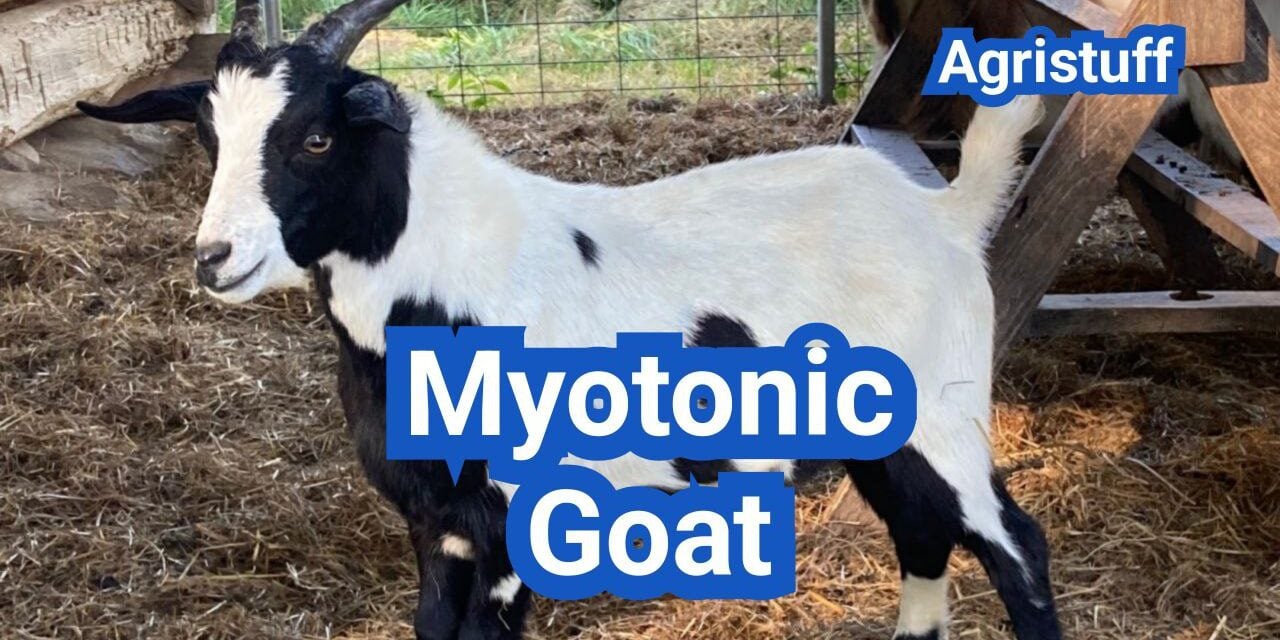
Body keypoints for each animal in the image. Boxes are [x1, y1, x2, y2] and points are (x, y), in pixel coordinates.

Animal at [77, 0, 1057, 638]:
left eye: (316, 138)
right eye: (210, 139)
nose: (214, 258)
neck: (449, 283)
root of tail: (945, 211)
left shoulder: (513, 521)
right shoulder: (432, 521)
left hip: (944, 410)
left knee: (1014, 544)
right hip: (880, 435)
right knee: (922, 535)